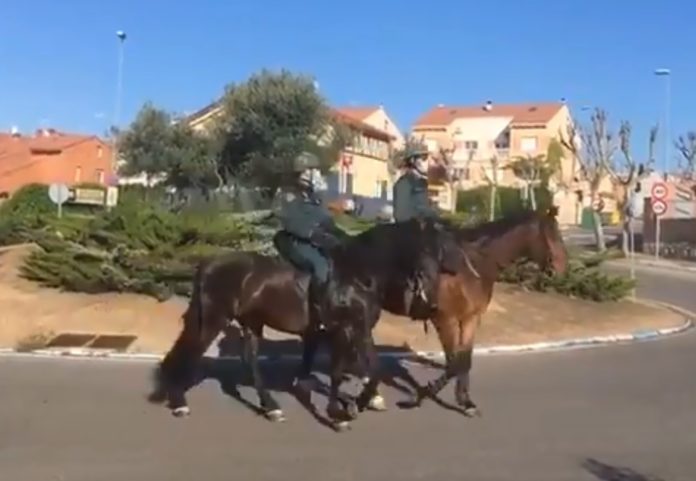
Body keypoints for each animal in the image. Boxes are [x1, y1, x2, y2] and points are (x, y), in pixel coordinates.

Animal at [147, 219, 440, 430]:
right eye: (425, 248)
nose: (432, 298)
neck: (357, 275)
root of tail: (207, 263)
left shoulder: (357, 329)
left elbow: (362, 368)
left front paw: (355, 403)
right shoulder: (348, 329)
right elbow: (347, 371)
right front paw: (340, 413)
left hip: (250, 322)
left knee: (248, 360)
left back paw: (271, 408)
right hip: (213, 319)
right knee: (190, 352)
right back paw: (180, 403)